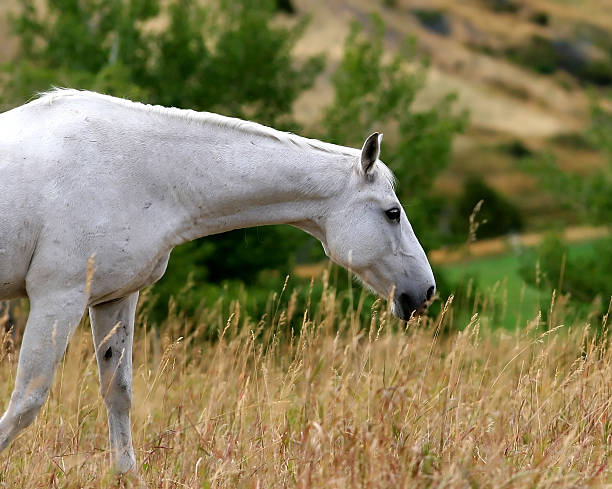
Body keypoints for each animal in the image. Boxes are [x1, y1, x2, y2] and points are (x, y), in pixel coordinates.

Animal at [0, 89, 436, 470]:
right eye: (392, 213)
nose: (425, 291)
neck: (136, 169)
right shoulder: (59, 296)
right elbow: (26, 401)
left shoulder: (114, 298)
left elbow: (117, 395)